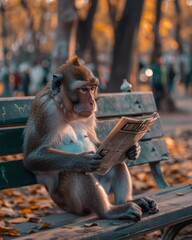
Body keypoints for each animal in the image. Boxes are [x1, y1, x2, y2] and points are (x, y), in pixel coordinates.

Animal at [22, 56, 158, 221]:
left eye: (92, 88)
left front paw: (134, 149)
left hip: (104, 182)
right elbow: (31, 158)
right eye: (83, 89)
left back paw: (126, 201)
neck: (65, 109)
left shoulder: (90, 115)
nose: (92, 101)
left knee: (116, 161)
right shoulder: (45, 110)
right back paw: (109, 211)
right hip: (73, 204)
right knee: (76, 172)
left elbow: (95, 142)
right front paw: (82, 160)